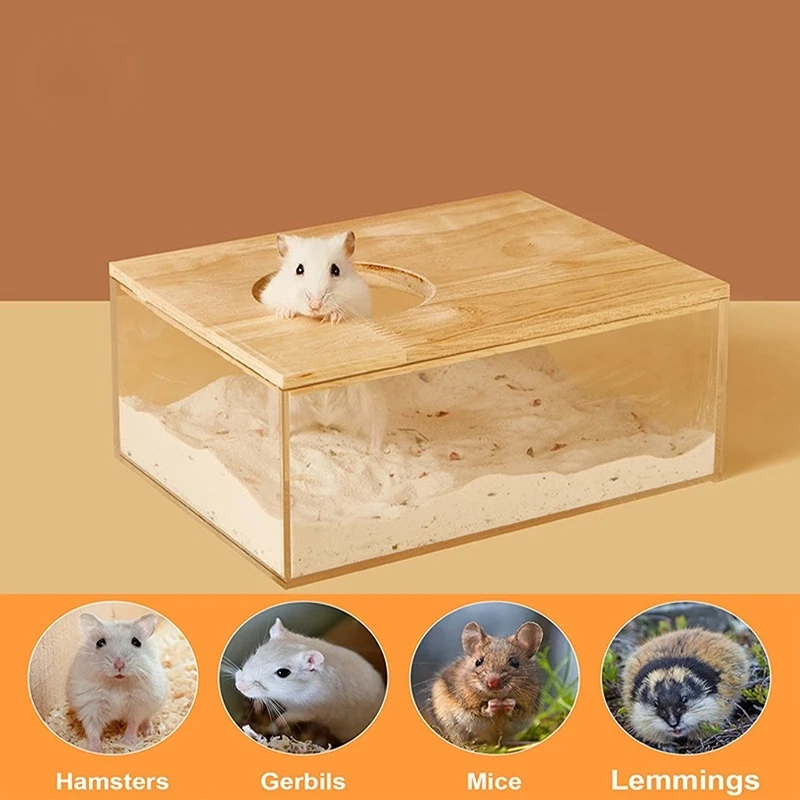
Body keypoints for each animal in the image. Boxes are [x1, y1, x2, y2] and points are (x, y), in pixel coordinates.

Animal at [66, 612, 168, 753]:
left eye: (136, 642)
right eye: (100, 643)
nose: (119, 665)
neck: (117, 684)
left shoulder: (139, 705)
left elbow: (133, 723)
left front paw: (127, 742)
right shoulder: (90, 706)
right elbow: (92, 730)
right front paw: (95, 749)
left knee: (147, 718)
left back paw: (148, 732)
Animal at [234, 618, 385, 746]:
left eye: (283, 673)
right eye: (257, 651)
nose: (239, 686)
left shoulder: (308, 710)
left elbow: (291, 715)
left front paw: (278, 723)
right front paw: (258, 708)